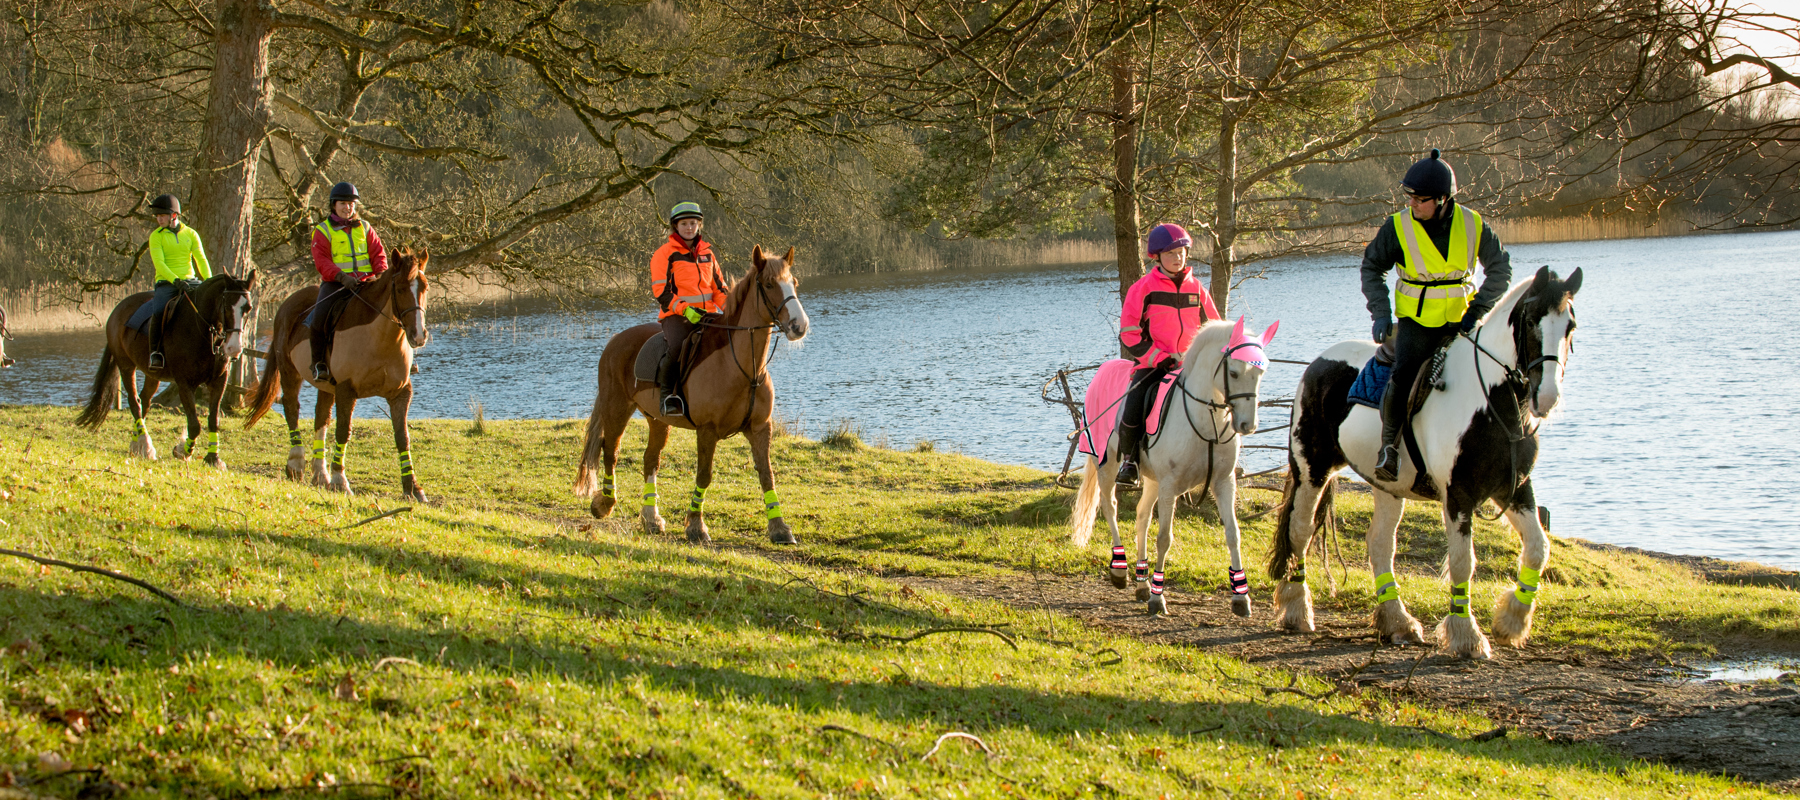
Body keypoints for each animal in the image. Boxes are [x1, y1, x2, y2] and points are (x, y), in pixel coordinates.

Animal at [76, 272, 259, 464]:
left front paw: (213, 458)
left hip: (152, 374)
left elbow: (213, 420)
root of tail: (118, 308)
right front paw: (183, 451)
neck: (201, 329)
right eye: (226, 306)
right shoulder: (185, 383)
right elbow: (194, 424)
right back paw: (145, 445)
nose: (234, 348)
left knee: (144, 401)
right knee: (135, 403)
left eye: (248, 308)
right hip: (126, 366)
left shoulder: (218, 381)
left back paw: (137, 443)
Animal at [244, 248, 430, 500]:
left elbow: (403, 437)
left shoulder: (400, 393)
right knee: (291, 409)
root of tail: (287, 304)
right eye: (400, 288)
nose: (418, 335)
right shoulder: (346, 390)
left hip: (325, 386)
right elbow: (343, 432)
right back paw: (296, 464)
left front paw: (413, 488)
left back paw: (320, 475)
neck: (380, 338)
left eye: (425, 288)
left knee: (320, 418)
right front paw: (340, 481)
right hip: (289, 371)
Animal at [576, 243, 810, 544]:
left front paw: (779, 527)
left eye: (793, 283)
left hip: (657, 421)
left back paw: (651, 518)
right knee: (610, 451)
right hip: (617, 408)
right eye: (769, 285)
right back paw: (604, 503)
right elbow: (704, 475)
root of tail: (615, 340)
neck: (742, 366)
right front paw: (696, 526)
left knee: (650, 460)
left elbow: (767, 475)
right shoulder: (707, 430)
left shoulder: (760, 428)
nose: (799, 326)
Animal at [1065, 318, 1281, 619]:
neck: (1206, 421)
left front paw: (1241, 597)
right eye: (1234, 373)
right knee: (1110, 507)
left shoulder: (1224, 482)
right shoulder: (1170, 486)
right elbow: (1165, 538)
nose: (1248, 425)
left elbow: (1233, 533)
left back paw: (1142, 584)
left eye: (1260, 373)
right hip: (1107, 464)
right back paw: (1120, 570)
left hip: (1152, 480)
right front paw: (1158, 598)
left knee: (1142, 516)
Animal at [1267, 264, 1576, 659]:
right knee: (1300, 530)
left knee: (1379, 544)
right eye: (1532, 321)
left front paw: (1512, 621)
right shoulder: (1459, 495)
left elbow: (1538, 548)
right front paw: (1467, 635)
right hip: (1311, 470)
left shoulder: (1514, 489)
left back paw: (1398, 621)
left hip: (1387, 484)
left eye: (1570, 326)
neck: (1490, 404)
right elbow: (1463, 563)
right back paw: (1296, 609)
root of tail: (1318, 363)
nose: (1547, 397)